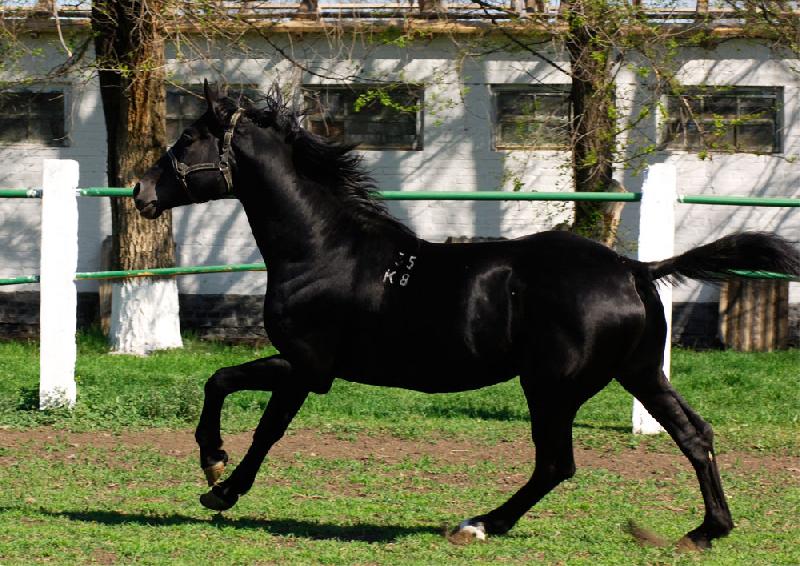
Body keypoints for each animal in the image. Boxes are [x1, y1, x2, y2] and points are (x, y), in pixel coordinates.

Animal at [133, 80, 800, 550]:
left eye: (187, 139)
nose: (141, 192)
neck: (325, 249)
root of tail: (634, 269)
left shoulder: (307, 366)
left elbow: (245, 407)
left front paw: (219, 481)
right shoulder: (305, 367)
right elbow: (229, 389)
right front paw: (216, 473)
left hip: (551, 386)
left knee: (556, 462)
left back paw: (478, 524)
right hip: (638, 372)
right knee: (694, 435)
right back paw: (705, 531)